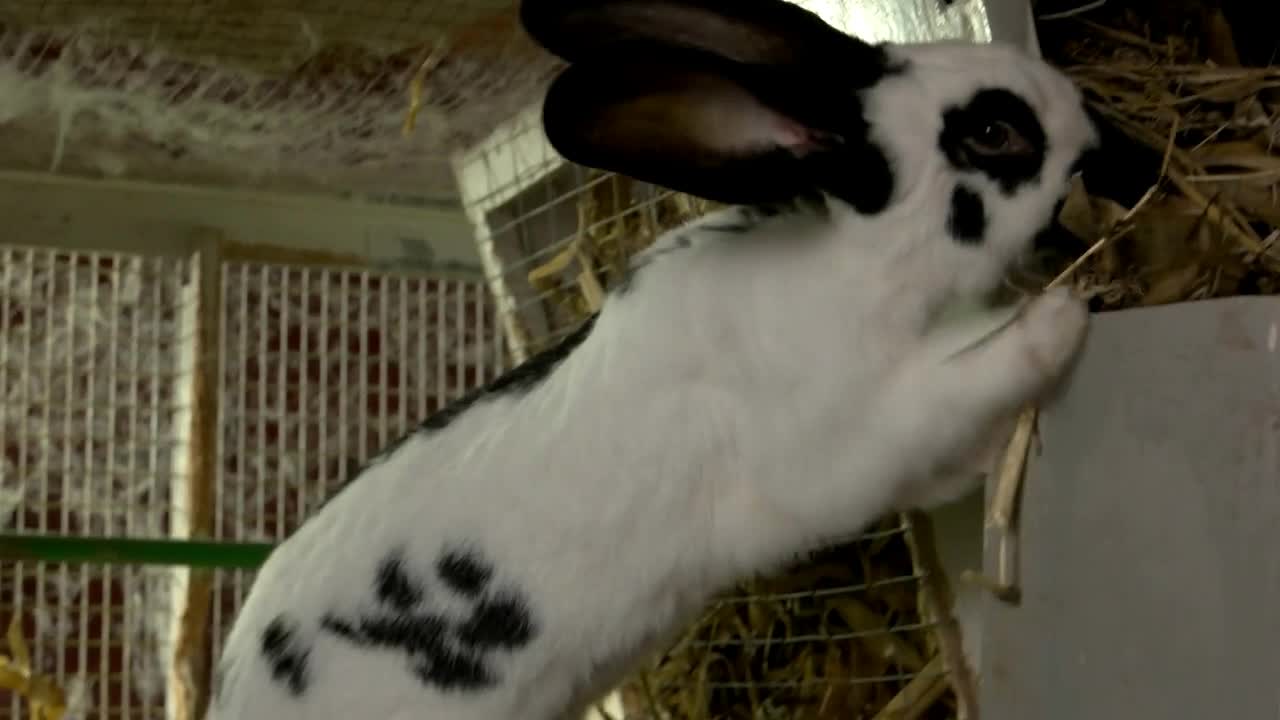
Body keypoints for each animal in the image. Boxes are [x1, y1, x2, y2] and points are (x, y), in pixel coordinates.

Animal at [207, 1, 1100, 717]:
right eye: (994, 133)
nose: (1090, 123)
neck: (857, 263)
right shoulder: (850, 445)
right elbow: (964, 386)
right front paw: (1059, 318)